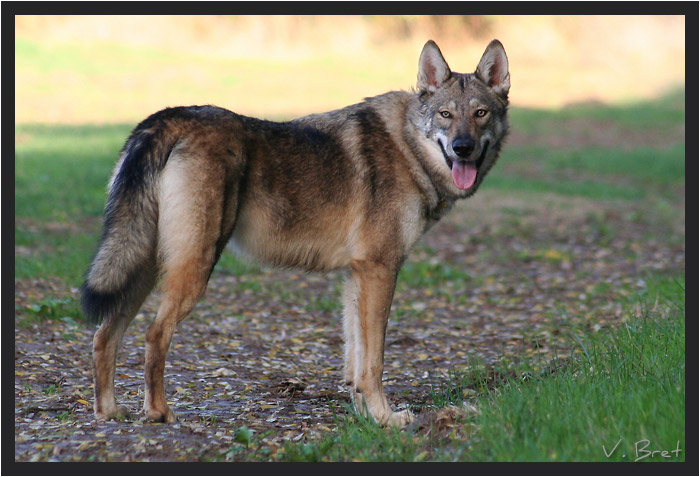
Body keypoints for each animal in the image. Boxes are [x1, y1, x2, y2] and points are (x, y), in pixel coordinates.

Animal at [81, 39, 510, 427]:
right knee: (154, 335)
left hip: (142, 266)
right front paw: (388, 419)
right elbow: (374, 361)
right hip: (192, 269)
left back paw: (109, 412)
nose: (463, 147)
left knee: (104, 335)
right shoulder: (380, 270)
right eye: (445, 114)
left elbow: (355, 361)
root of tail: (167, 118)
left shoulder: (357, 276)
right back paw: (159, 413)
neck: (406, 147)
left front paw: (366, 416)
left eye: (481, 113)